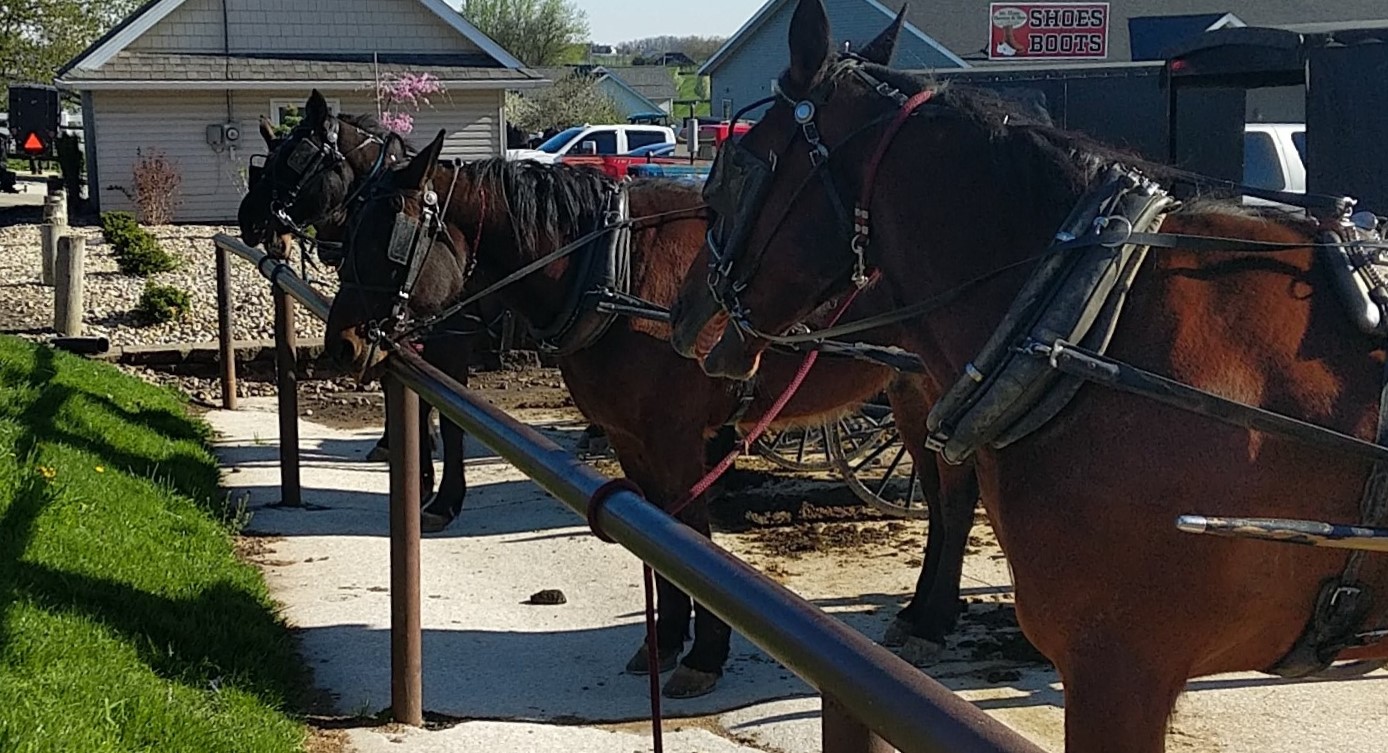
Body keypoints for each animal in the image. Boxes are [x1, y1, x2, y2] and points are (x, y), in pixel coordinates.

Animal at [320, 103, 982, 698]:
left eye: (387, 240)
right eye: (350, 230)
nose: (341, 345)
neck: (615, 274)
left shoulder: (677, 440)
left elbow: (692, 534)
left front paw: (706, 654)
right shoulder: (630, 440)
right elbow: (659, 534)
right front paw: (664, 640)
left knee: (956, 499)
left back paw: (932, 618)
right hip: (911, 394)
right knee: (943, 501)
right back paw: (924, 613)